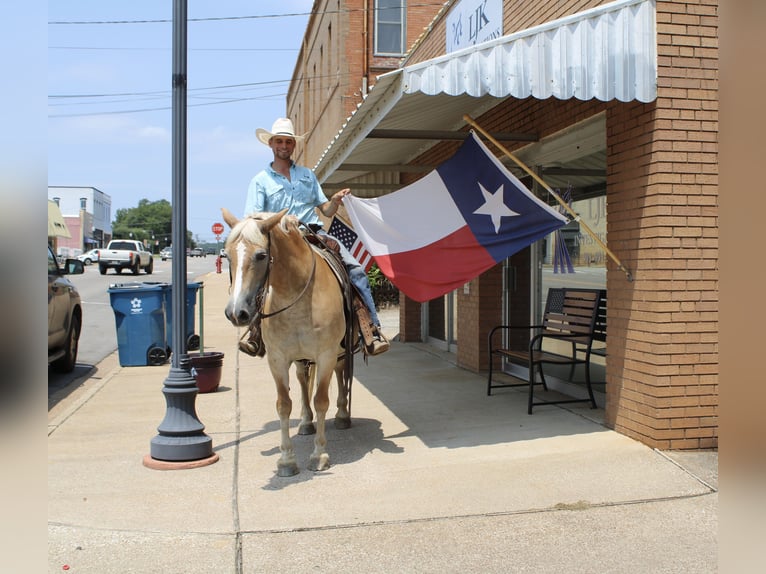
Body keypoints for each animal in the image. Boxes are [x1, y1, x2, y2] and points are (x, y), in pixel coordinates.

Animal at [222, 208, 354, 476]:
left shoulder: (326, 354)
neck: (296, 294)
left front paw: (319, 455)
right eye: (227, 255)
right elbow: (284, 404)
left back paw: (343, 414)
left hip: (337, 352)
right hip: (302, 358)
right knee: (303, 380)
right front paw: (286, 460)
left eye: (261, 255)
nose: (236, 312)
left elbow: (321, 400)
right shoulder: (277, 359)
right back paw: (305, 422)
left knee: (339, 373)